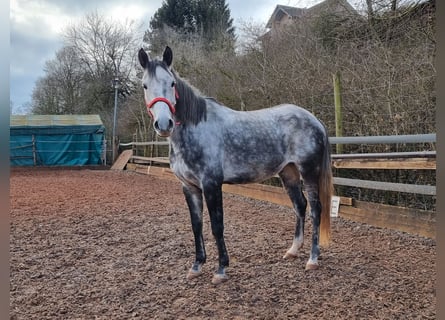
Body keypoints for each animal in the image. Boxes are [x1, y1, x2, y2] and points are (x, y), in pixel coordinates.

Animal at [137, 46, 332, 284]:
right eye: (145, 85)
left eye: (172, 83)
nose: (164, 124)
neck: (196, 128)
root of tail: (314, 120)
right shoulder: (189, 187)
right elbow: (196, 225)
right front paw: (196, 265)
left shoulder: (211, 185)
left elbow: (217, 226)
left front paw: (221, 269)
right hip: (289, 173)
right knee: (300, 205)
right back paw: (293, 251)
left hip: (309, 171)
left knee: (315, 209)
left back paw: (312, 259)